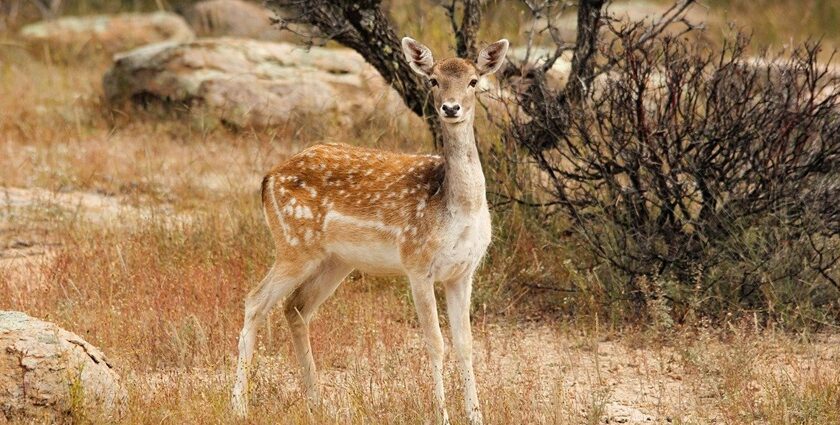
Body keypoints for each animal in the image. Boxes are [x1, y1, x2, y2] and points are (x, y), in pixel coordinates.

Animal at [230, 37, 508, 424]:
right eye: (433, 80)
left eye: (473, 81)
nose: (451, 108)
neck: (456, 209)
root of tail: (268, 178)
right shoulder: (417, 262)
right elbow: (435, 343)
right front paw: (441, 415)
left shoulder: (463, 272)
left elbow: (466, 344)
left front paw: (477, 417)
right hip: (293, 244)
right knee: (255, 301)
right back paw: (239, 405)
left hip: (335, 260)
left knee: (296, 307)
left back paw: (316, 401)